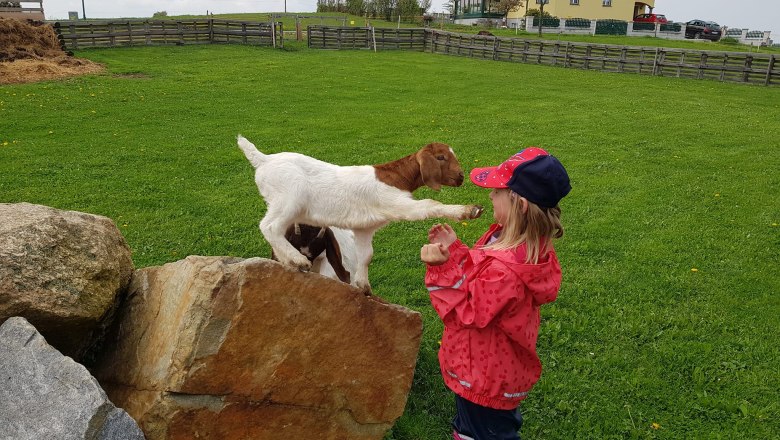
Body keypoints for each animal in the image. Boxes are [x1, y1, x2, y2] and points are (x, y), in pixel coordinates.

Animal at [236, 135, 483, 294]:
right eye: (441, 157)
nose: (461, 177)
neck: (396, 177)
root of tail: (264, 159)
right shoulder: (399, 204)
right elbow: (429, 204)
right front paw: (468, 210)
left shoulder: (365, 228)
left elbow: (366, 255)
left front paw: (363, 286)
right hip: (289, 199)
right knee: (270, 226)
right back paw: (297, 260)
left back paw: (288, 261)